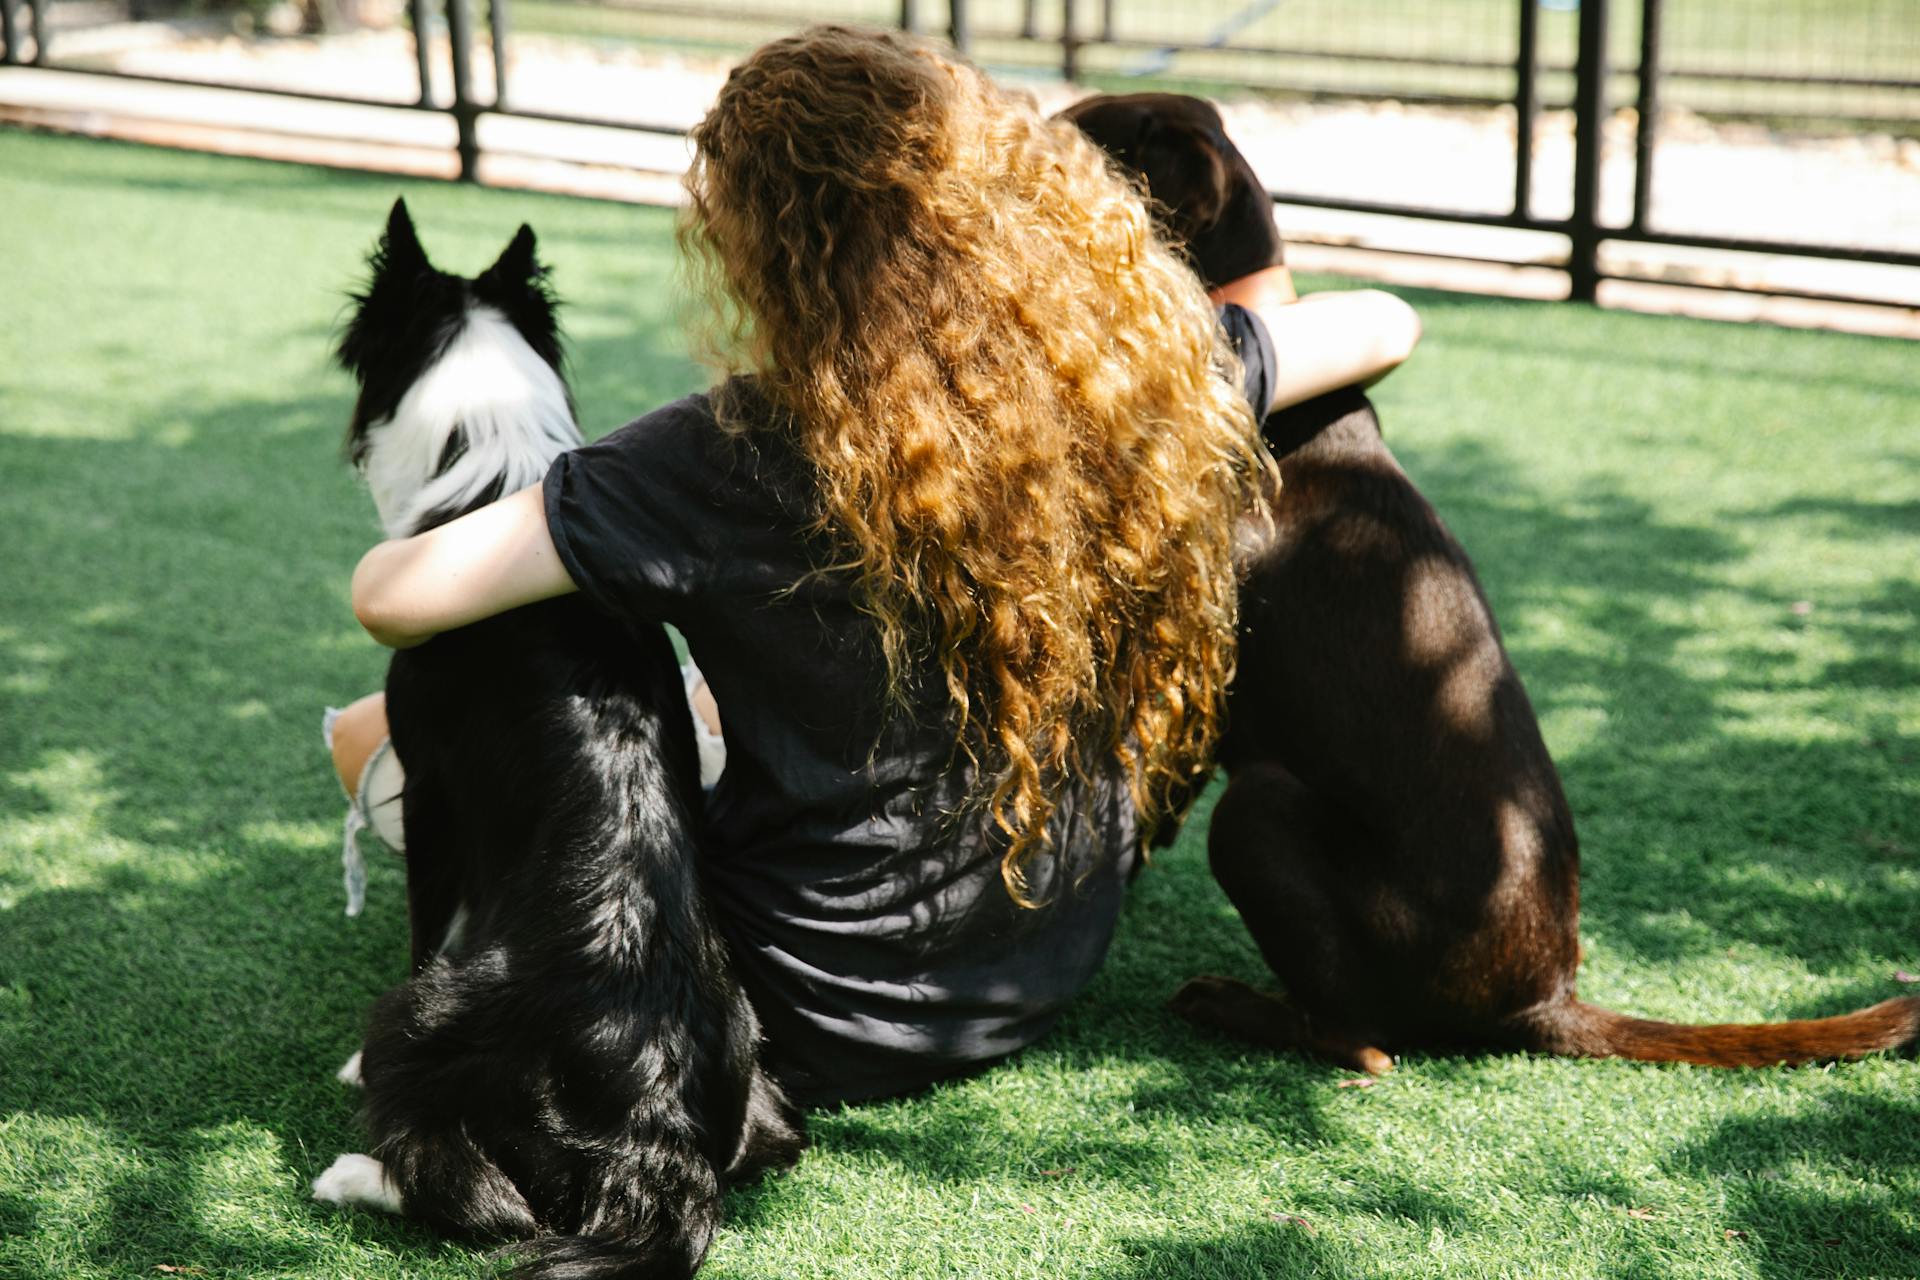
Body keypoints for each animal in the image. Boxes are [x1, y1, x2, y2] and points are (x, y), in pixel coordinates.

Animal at [312, 200, 802, 1280]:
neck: (488, 453)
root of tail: (655, 1126)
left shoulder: (430, 787)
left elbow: (424, 919)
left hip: (428, 1015)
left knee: (479, 1195)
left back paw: (352, 1169)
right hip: (767, 1092)